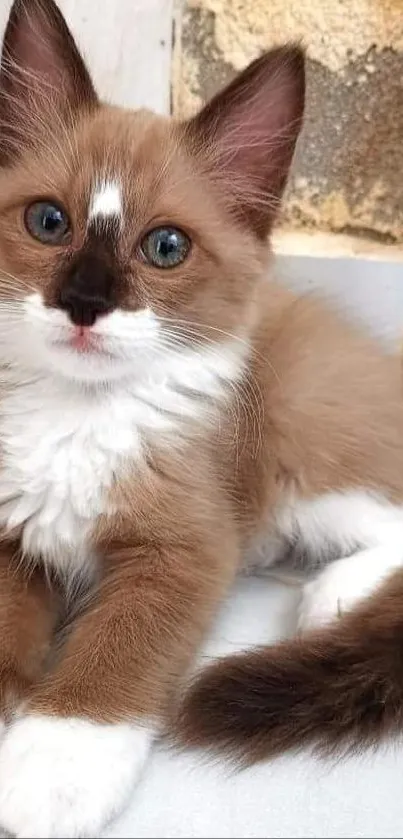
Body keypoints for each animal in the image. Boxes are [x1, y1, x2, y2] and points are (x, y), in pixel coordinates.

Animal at [0, 0, 403, 836]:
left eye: (165, 246)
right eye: (49, 223)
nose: (84, 303)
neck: (80, 415)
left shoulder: (184, 549)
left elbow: (116, 652)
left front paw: (52, 770)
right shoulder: (14, 530)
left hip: (298, 432)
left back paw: (335, 593)